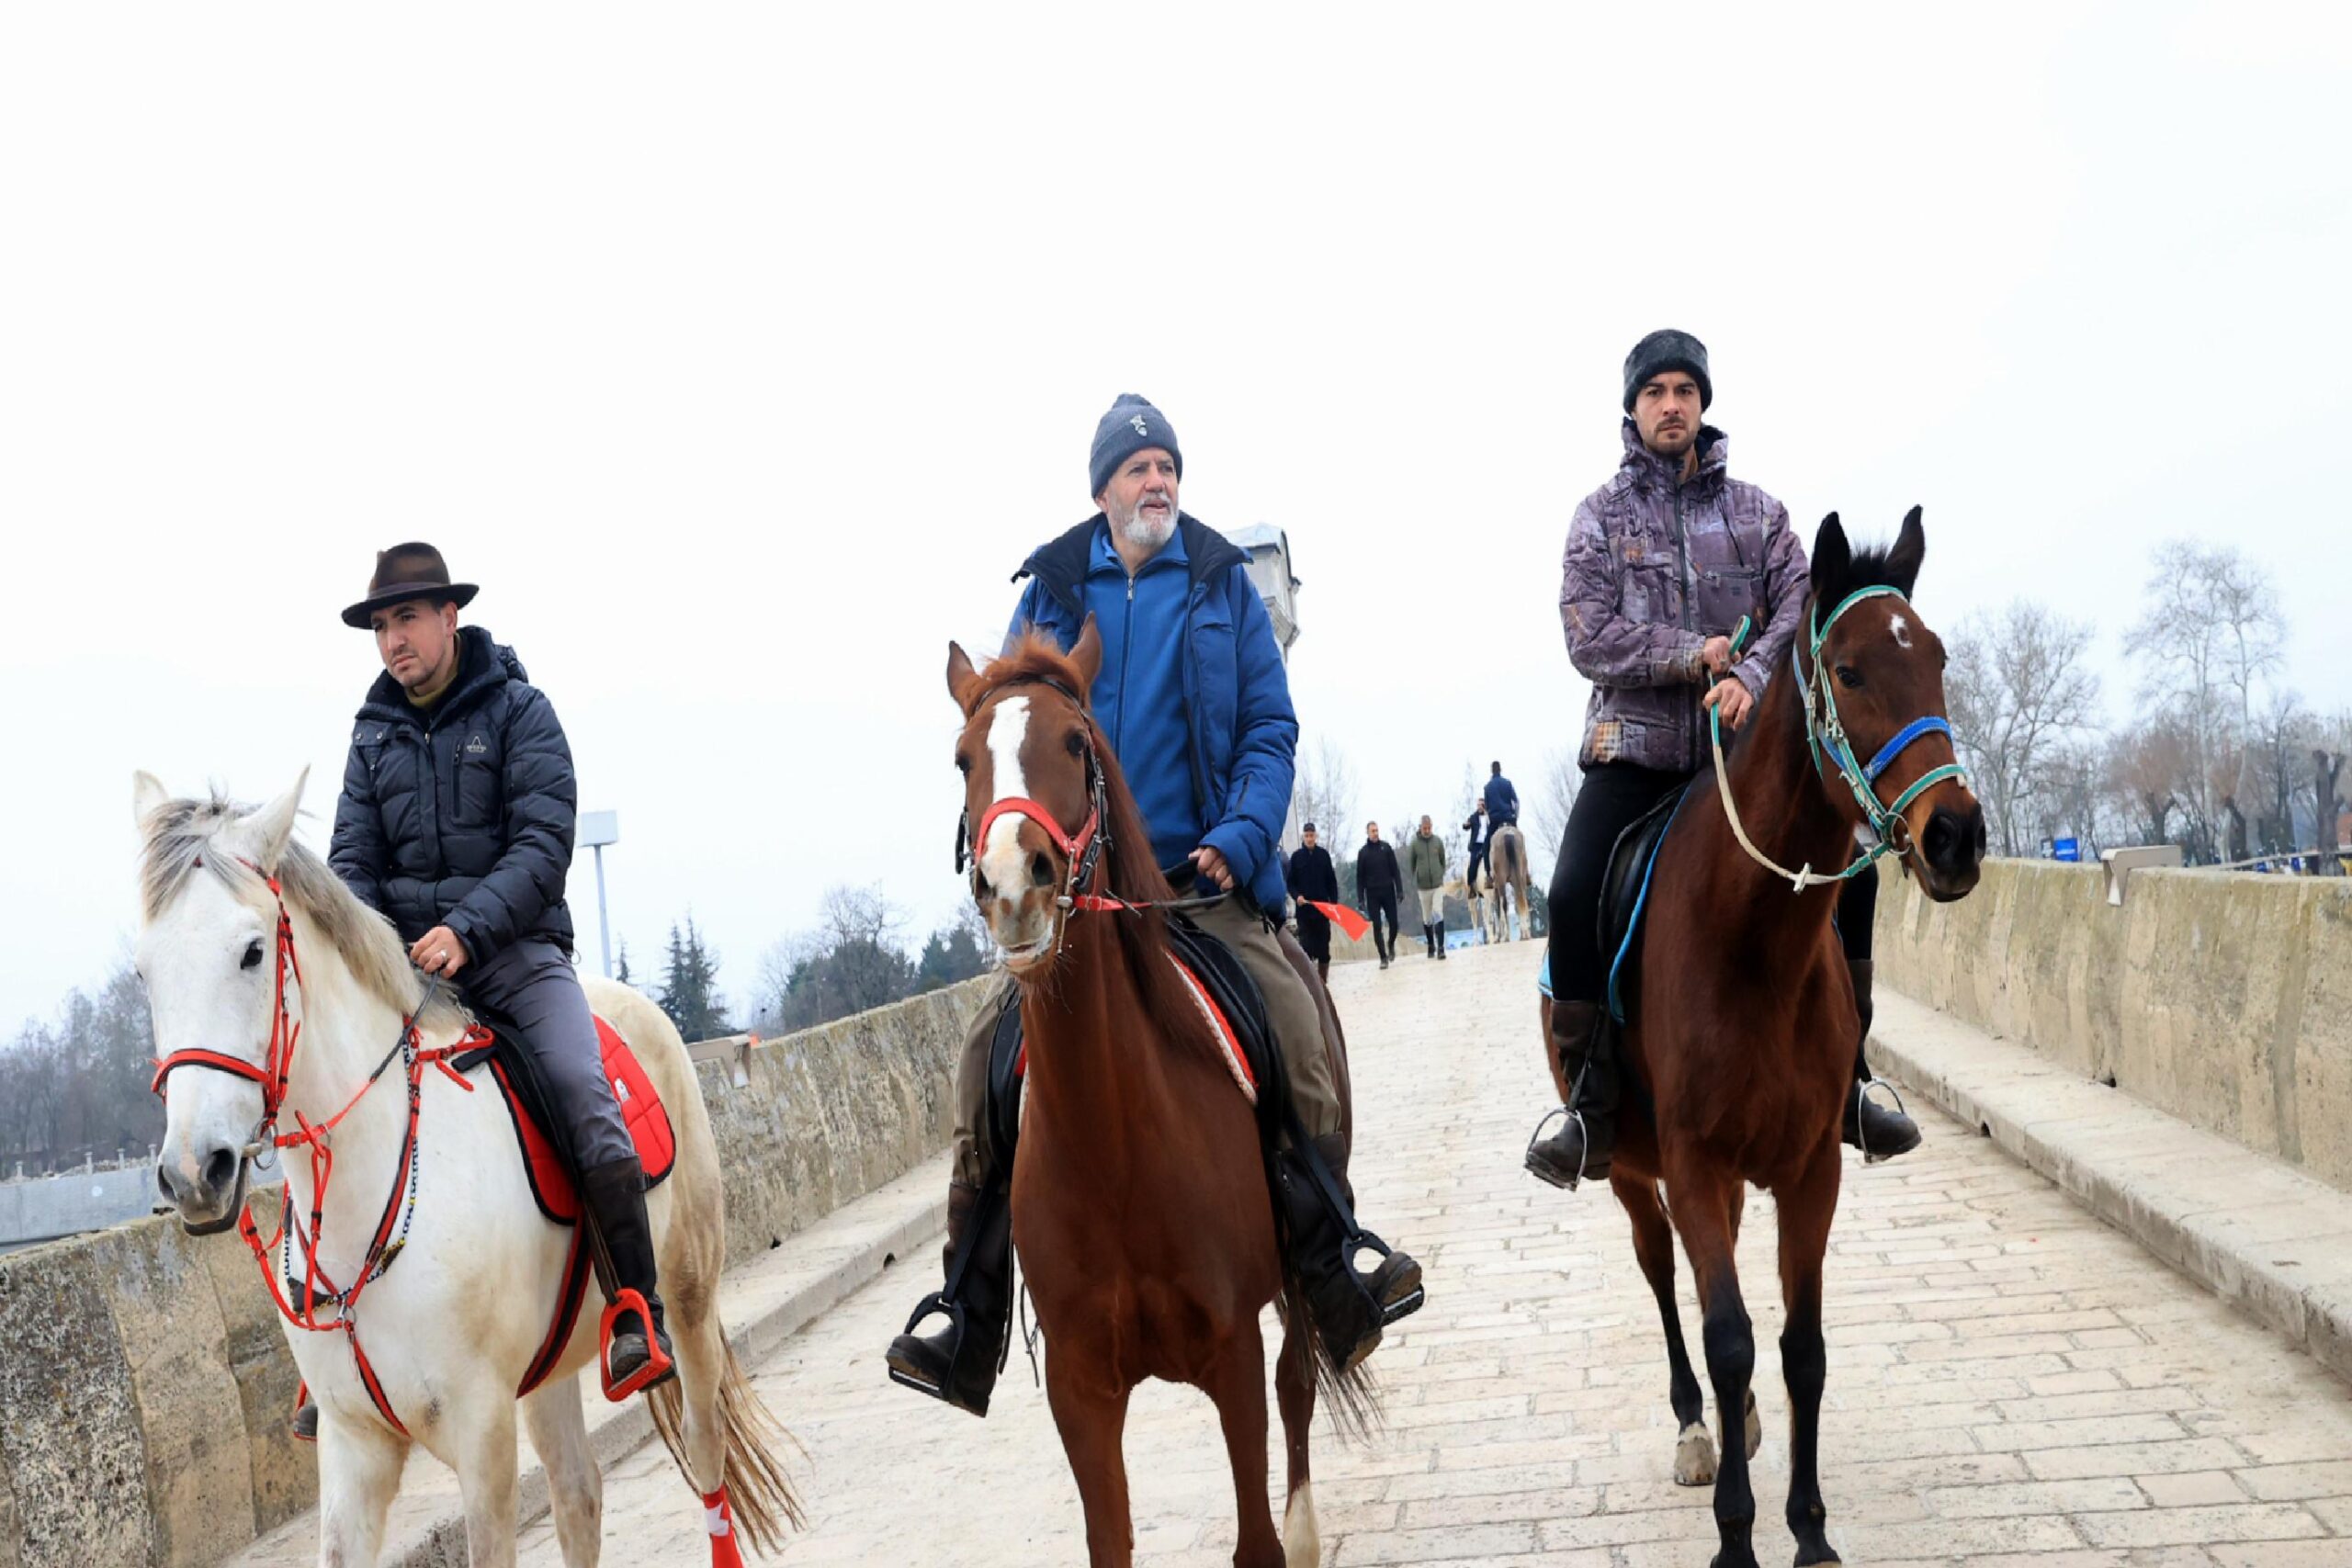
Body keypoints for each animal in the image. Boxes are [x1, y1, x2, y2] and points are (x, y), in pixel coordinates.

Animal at [137, 775, 799, 1568]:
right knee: (579, 1491)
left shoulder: (480, 1433)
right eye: (145, 971)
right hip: (548, 1371)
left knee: (706, 1451)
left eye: (252, 951)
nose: (193, 1172)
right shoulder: (353, 1447)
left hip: (690, 1305)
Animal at [945, 625, 1374, 1568]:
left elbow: (1258, 1533)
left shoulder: (1229, 1352)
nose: (1015, 881)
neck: (1112, 1136)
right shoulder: (1080, 1387)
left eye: (1076, 742)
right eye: (962, 758)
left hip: (1296, 1275)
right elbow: (1110, 1541)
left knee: (1298, 1375)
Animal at [1543, 514, 1984, 1568]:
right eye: (1852, 671)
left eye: (1936, 658)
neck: (1751, 944)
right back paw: (1697, 1428)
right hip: (1632, 1168)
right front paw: (1737, 1536)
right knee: (1665, 1279)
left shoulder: (1807, 1167)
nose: (1955, 835)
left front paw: (1810, 1529)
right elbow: (1728, 1336)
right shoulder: (1693, 1162)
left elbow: (1800, 1348)